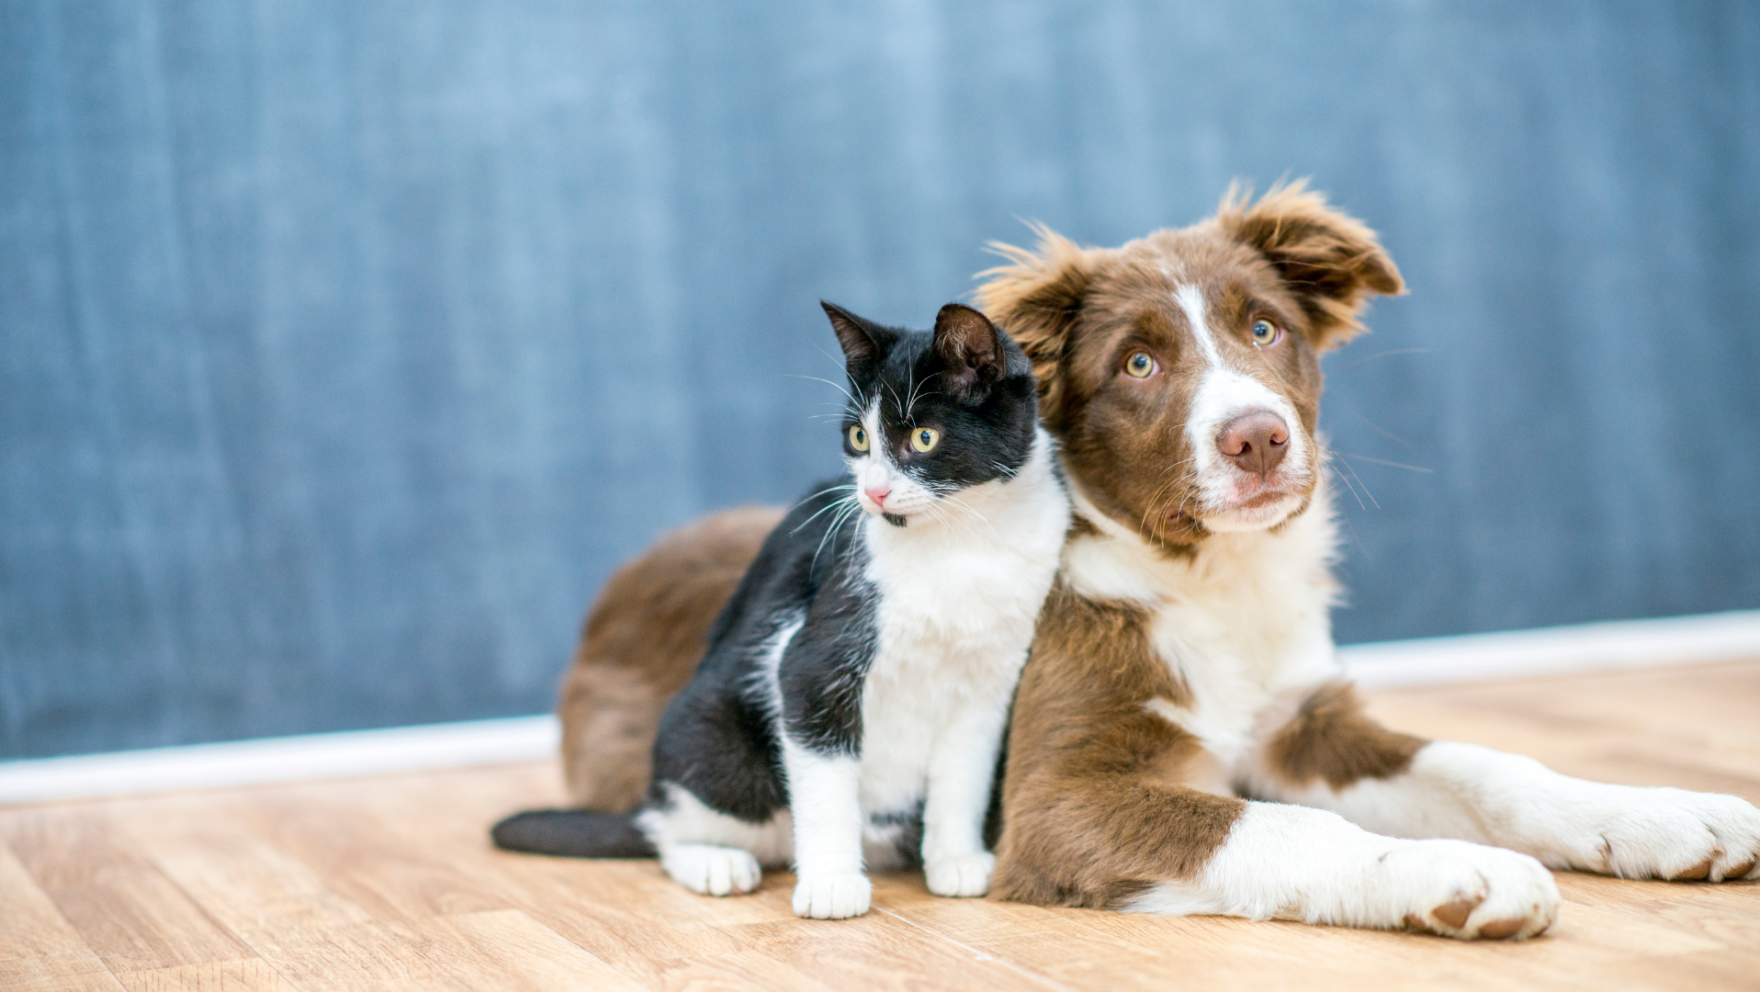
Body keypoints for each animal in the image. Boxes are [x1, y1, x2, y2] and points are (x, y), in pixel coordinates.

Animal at [496, 300, 1070, 921]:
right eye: (859, 436)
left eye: (923, 436)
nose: (873, 493)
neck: (961, 543)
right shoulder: (812, 661)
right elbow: (824, 778)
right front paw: (832, 883)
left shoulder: (990, 684)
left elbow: (964, 776)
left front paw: (957, 860)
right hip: (716, 745)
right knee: (668, 828)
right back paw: (714, 861)